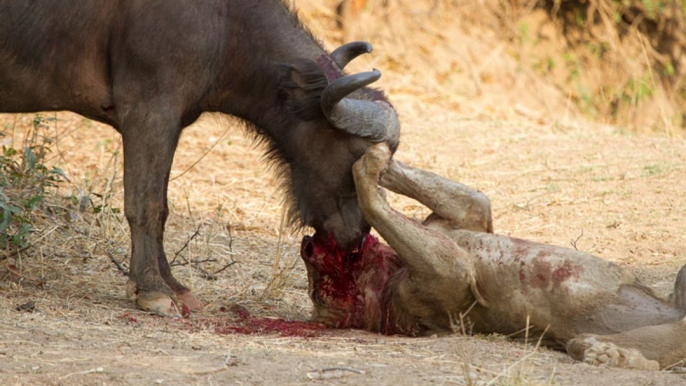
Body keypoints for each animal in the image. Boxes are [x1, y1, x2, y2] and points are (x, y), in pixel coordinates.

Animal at [0, 1, 400, 316]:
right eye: (359, 157)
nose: (357, 237)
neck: (226, 24)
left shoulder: (171, 122)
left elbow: (161, 207)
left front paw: (174, 286)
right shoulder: (149, 111)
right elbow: (144, 204)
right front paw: (152, 290)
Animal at [300, 142, 686, 370]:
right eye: (318, 290)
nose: (307, 246)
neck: (388, 276)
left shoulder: (465, 216)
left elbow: (474, 198)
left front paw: (377, 156)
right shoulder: (441, 280)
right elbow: (371, 198)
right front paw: (369, 165)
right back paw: (607, 353)